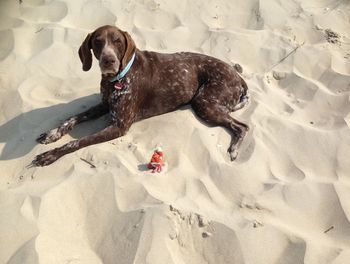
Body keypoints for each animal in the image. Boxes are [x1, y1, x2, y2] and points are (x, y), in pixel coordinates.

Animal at [32, 24, 250, 165]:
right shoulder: (104, 105)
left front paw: (50, 155)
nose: (108, 61)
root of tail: (238, 77)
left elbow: (78, 141)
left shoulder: (119, 126)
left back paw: (234, 149)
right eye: (98, 42)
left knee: (242, 126)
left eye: (117, 42)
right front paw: (52, 133)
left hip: (204, 103)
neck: (117, 79)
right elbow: (72, 118)